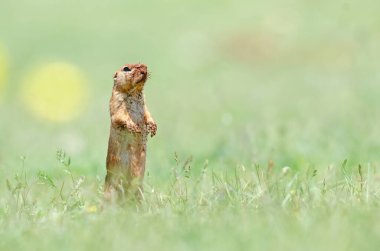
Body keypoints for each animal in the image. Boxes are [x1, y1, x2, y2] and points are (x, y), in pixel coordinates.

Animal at [104, 63, 156, 201]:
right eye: (126, 68)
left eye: (144, 65)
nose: (144, 68)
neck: (134, 92)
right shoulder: (117, 102)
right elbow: (120, 116)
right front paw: (135, 128)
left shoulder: (145, 105)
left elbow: (148, 114)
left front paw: (153, 128)